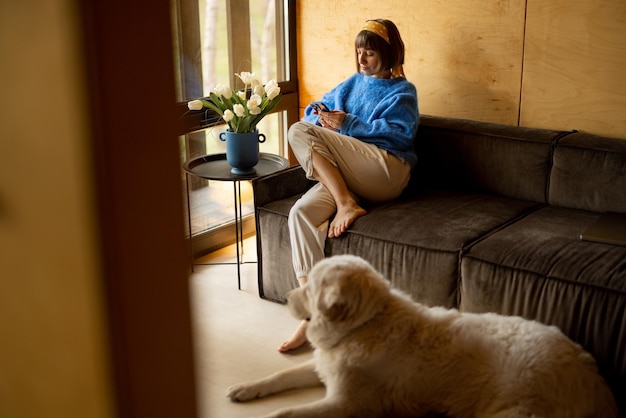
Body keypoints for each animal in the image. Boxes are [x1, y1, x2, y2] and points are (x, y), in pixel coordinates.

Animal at [225, 255, 616, 418]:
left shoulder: (348, 403)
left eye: (310, 289)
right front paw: (245, 389)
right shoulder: (326, 366)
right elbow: (280, 376)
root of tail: (592, 376)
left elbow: (287, 413)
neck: (365, 324)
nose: (288, 295)